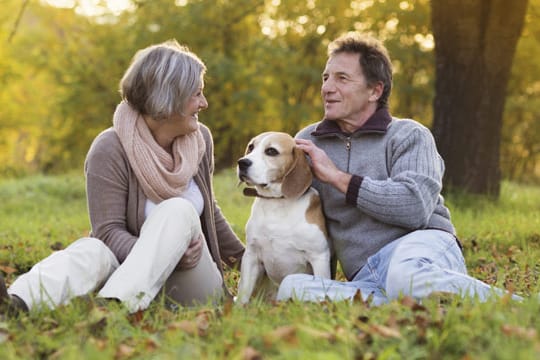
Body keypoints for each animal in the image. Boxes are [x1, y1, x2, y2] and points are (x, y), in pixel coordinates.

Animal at [237, 132, 334, 304]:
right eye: (251, 147)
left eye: (271, 151)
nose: (242, 162)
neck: (277, 202)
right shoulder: (251, 255)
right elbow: (244, 293)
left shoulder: (319, 257)